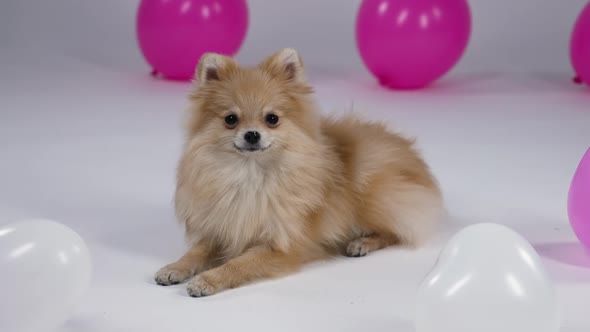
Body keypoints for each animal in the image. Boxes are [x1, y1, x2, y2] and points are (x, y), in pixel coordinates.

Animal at [154, 48, 444, 296]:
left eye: (272, 119)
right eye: (230, 120)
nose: (252, 134)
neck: (251, 174)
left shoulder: (280, 245)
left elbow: (239, 264)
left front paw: (208, 280)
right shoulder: (221, 229)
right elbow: (196, 253)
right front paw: (175, 268)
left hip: (374, 191)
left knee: (397, 230)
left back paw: (361, 243)